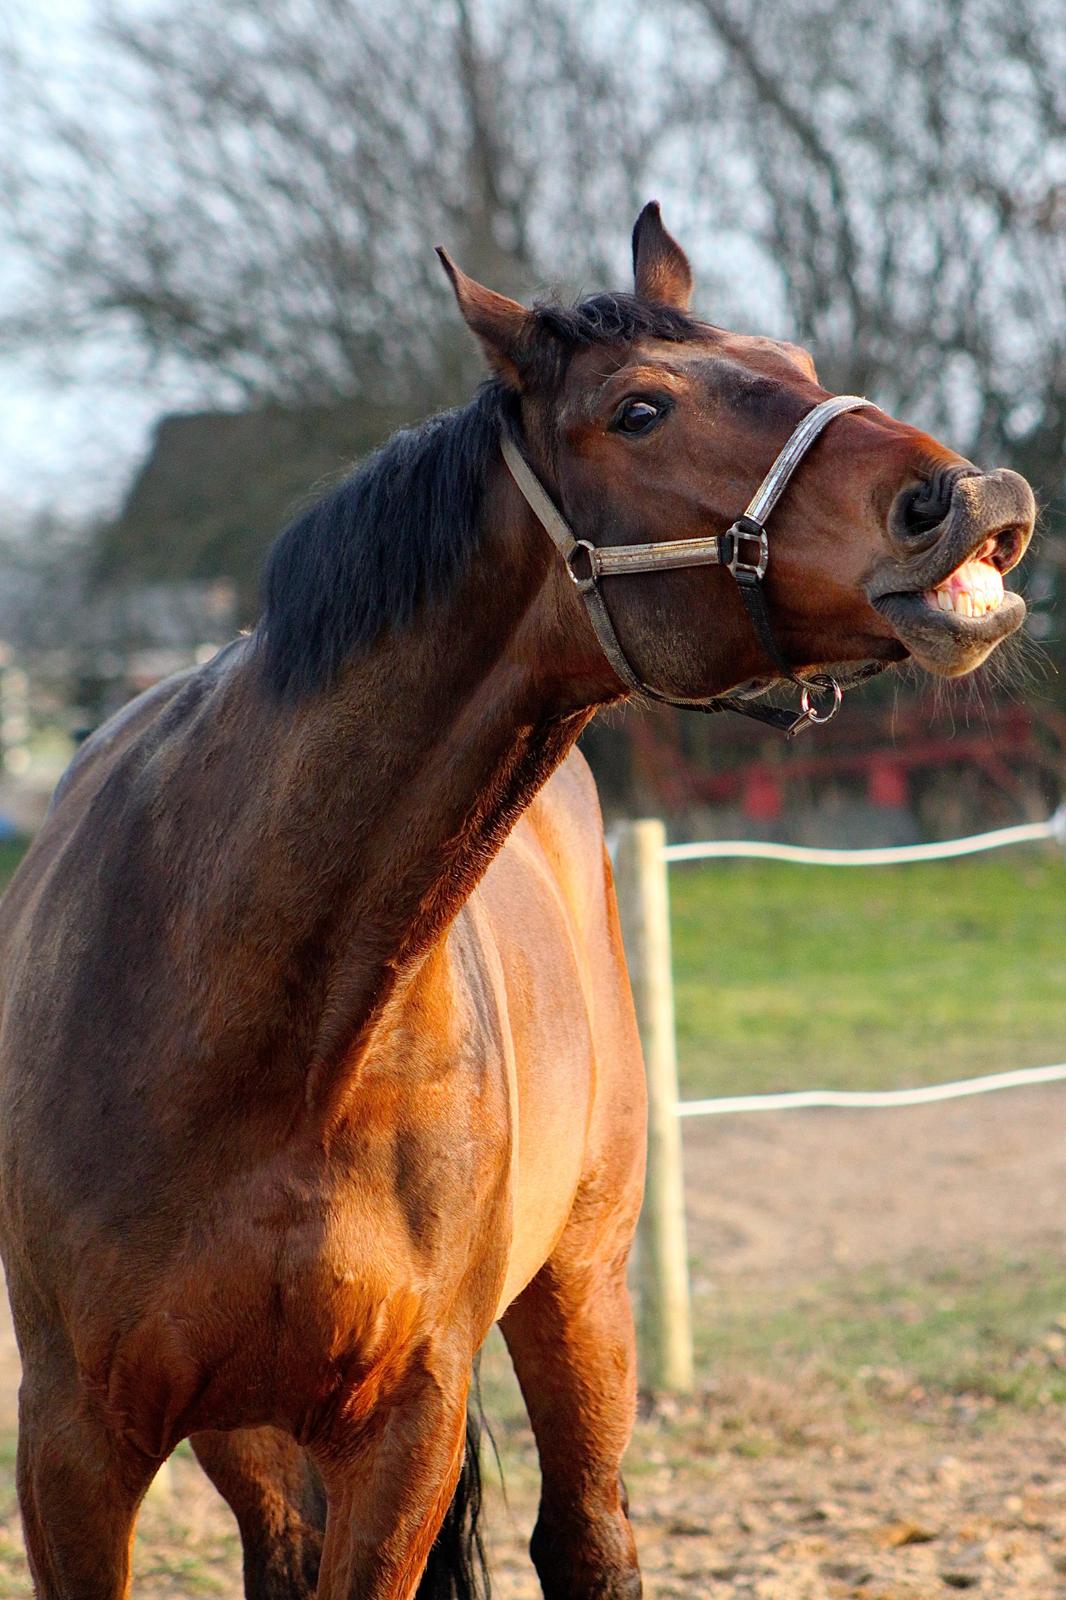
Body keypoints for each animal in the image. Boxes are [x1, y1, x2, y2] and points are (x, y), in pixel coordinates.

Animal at [0, 203, 1030, 1600]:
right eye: (638, 409)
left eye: (799, 359)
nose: (966, 500)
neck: (248, 1020)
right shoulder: (73, 1449)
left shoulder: (405, 1424)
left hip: (581, 1290)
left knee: (586, 1534)